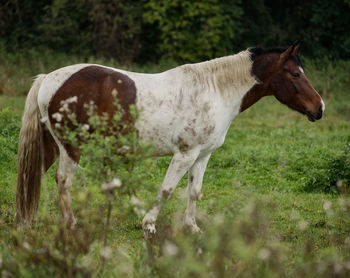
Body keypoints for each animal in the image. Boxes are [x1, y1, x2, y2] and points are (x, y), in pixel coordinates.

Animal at [15, 43, 324, 235]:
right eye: (294, 74)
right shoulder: (185, 154)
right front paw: (149, 224)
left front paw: (192, 227)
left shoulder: (202, 155)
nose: (319, 108)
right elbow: (167, 189)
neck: (214, 91)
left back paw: (25, 223)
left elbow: (194, 191)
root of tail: (49, 79)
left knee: (34, 177)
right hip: (71, 147)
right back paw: (71, 225)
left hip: (50, 146)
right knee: (63, 181)